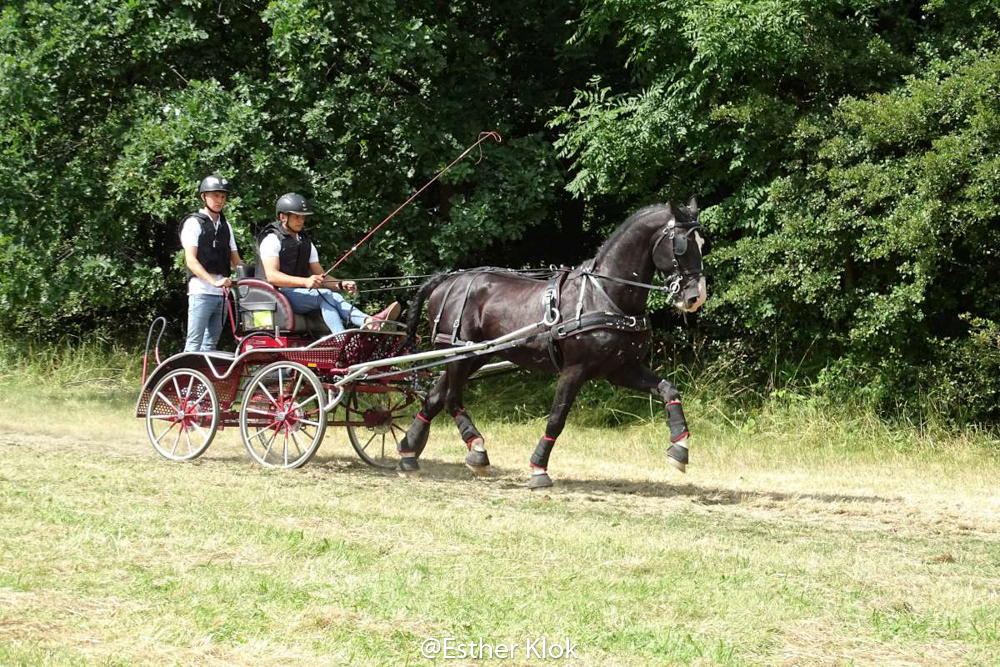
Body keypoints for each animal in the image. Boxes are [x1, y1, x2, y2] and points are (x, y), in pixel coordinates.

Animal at [396, 198, 708, 489]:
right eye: (681, 246)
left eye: (702, 244)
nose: (696, 296)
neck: (604, 296)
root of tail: (446, 281)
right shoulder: (575, 369)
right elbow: (557, 419)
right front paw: (539, 469)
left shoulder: (621, 369)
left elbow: (668, 389)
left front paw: (680, 446)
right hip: (458, 352)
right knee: (451, 398)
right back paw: (476, 447)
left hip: (473, 356)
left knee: (436, 397)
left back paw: (410, 452)